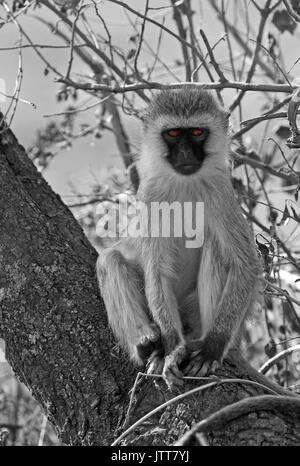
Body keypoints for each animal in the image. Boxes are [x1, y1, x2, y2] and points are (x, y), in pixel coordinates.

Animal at [96, 85, 260, 388]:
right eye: (172, 133)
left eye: (196, 132)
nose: (185, 153)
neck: (185, 183)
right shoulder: (150, 195)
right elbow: (156, 270)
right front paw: (171, 349)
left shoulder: (221, 191)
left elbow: (245, 264)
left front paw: (212, 347)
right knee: (109, 260)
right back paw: (148, 343)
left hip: (196, 312)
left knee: (217, 248)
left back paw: (204, 344)